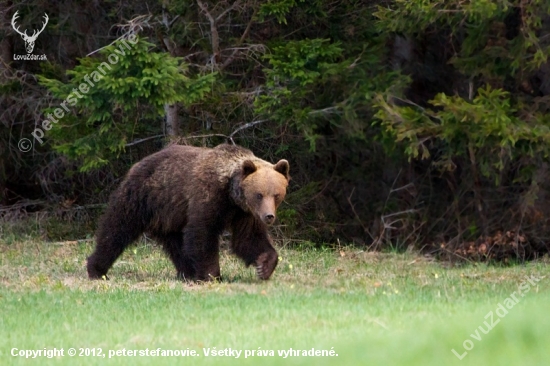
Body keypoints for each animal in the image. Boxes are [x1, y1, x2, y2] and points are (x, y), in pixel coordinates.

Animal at [87, 143, 288, 280]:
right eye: (259, 194)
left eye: (276, 195)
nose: (269, 216)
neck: (231, 194)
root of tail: (137, 163)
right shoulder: (208, 196)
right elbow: (202, 232)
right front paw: (212, 274)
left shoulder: (244, 213)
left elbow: (248, 238)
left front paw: (264, 266)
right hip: (141, 197)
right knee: (117, 228)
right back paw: (96, 269)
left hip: (169, 214)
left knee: (176, 243)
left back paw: (187, 272)